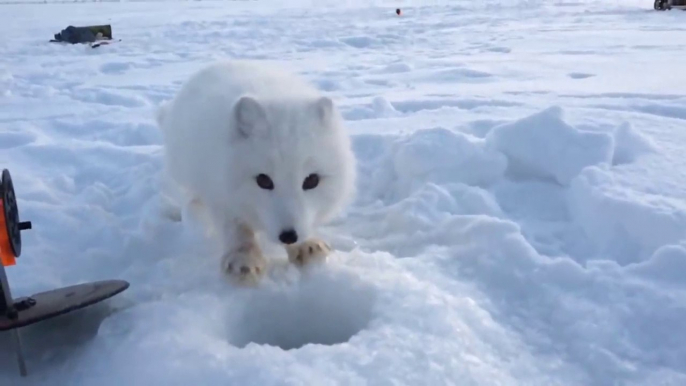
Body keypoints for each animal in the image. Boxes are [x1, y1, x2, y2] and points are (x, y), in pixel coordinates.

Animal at [157, 59, 358, 284]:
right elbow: (237, 229)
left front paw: (306, 245)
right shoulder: (221, 192)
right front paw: (243, 259)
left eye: (312, 180)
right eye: (263, 180)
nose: (289, 236)